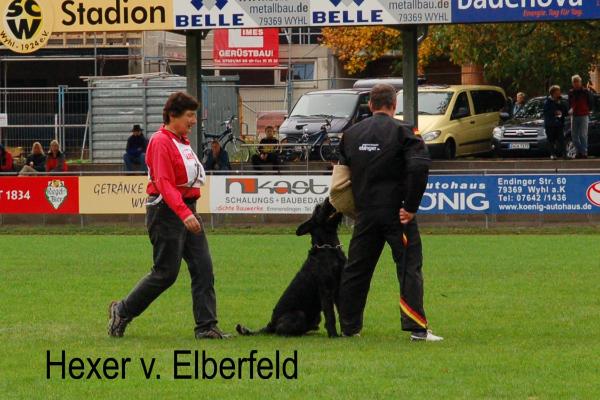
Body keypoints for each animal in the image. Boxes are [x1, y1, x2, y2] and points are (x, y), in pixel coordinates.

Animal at [236, 199, 344, 338]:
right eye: (318, 208)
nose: (328, 199)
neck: (329, 248)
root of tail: (271, 324)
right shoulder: (326, 290)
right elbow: (330, 316)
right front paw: (334, 335)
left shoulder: (338, 287)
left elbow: (342, 310)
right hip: (299, 314)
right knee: (282, 332)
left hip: (316, 317)